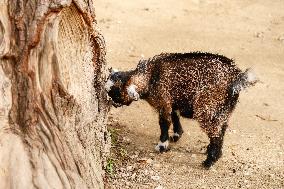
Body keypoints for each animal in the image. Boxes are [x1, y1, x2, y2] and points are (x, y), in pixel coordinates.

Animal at [105, 52, 258, 168]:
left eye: (116, 93)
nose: (113, 103)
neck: (151, 75)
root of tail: (236, 77)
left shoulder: (163, 102)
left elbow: (164, 123)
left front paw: (162, 145)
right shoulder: (172, 100)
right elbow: (175, 116)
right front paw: (177, 134)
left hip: (206, 107)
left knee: (215, 133)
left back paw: (209, 161)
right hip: (224, 109)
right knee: (222, 128)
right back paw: (211, 152)